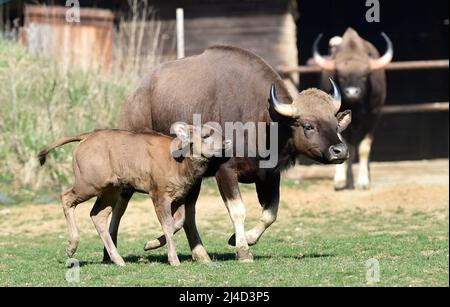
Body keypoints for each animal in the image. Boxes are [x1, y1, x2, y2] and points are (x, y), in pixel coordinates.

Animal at [37, 125, 232, 268]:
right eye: (206, 135)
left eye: (219, 130)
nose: (227, 141)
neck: (179, 164)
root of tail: (84, 137)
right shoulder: (158, 194)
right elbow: (168, 224)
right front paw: (173, 259)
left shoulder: (179, 196)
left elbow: (178, 222)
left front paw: (149, 244)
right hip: (89, 183)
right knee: (66, 197)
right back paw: (71, 248)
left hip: (111, 188)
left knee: (97, 214)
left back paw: (118, 260)